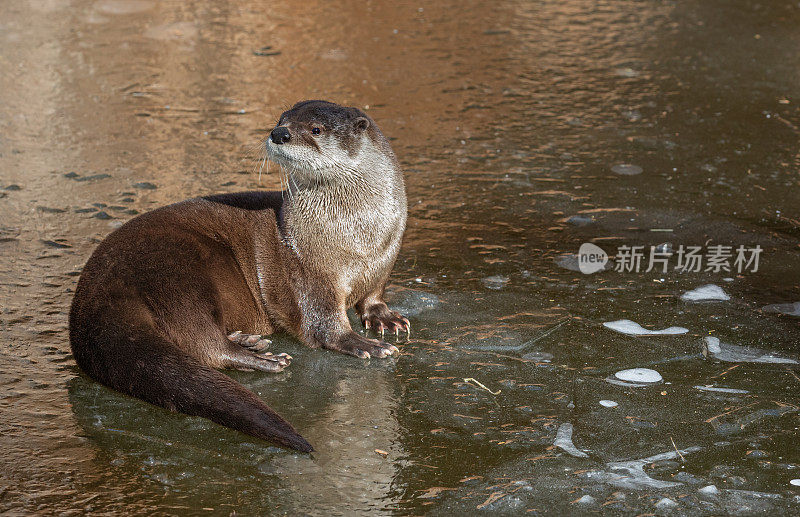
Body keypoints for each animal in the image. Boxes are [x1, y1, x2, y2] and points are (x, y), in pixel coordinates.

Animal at [68, 99, 410, 450]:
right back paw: (266, 359)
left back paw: (249, 342)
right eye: (282, 119)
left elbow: (374, 295)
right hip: (179, 273)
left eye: (316, 129)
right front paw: (363, 344)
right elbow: (323, 324)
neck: (357, 240)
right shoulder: (310, 273)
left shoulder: (386, 258)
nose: (279, 133)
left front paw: (385, 318)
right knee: (204, 344)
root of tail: (93, 289)